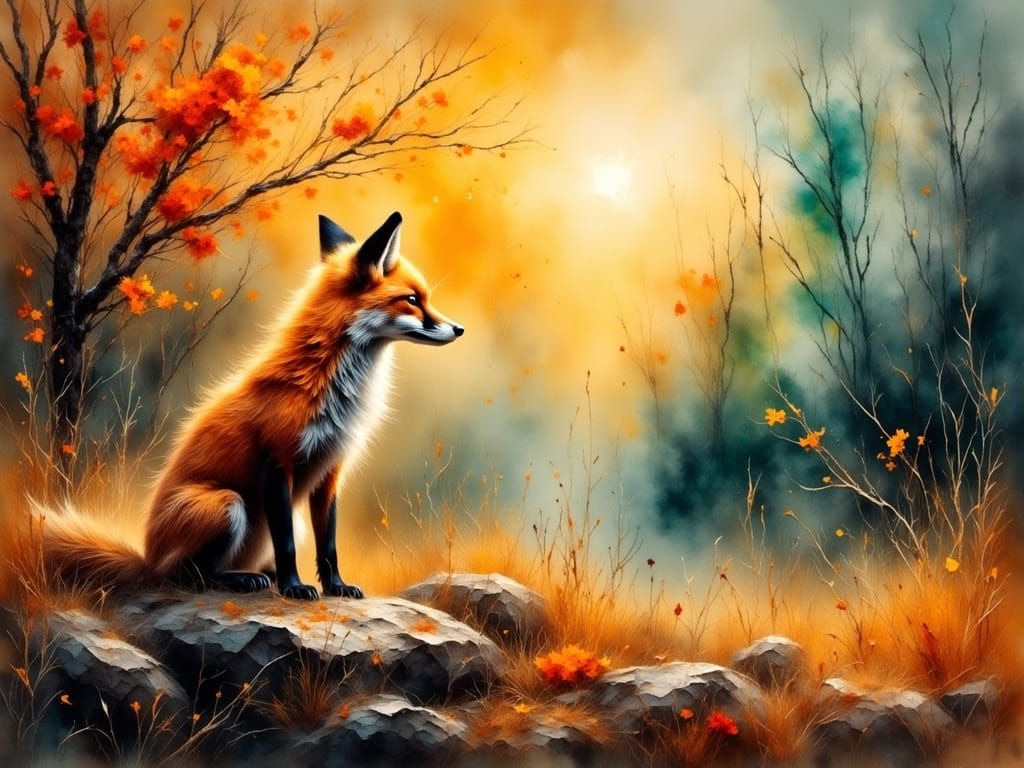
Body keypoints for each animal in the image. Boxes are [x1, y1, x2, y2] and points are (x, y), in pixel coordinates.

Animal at [43, 212, 463, 600]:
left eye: (424, 298)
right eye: (412, 300)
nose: (458, 329)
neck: (328, 385)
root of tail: (147, 557)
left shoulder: (329, 472)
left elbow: (328, 545)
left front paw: (335, 587)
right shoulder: (277, 465)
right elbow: (286, 545)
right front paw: (295, 588)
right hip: (227, 505)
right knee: (189, 575)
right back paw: (243, 580)